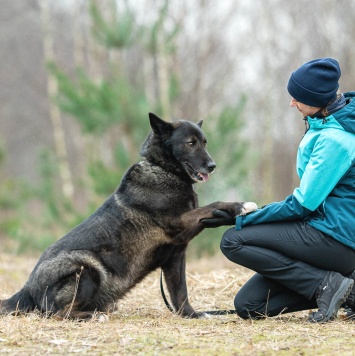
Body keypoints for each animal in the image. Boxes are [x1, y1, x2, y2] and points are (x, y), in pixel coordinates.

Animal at [0, 114, 256, 320]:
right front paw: (240, 206)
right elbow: (214, 205)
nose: (212, 166)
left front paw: (191, 315)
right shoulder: (178, 223)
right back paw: (94, 316)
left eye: (204, 143)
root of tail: (27, 288)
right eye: (190, 143)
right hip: (88, 267)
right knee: (59, 313)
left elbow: (180, 293)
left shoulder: (175, 257)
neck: (163, 170)